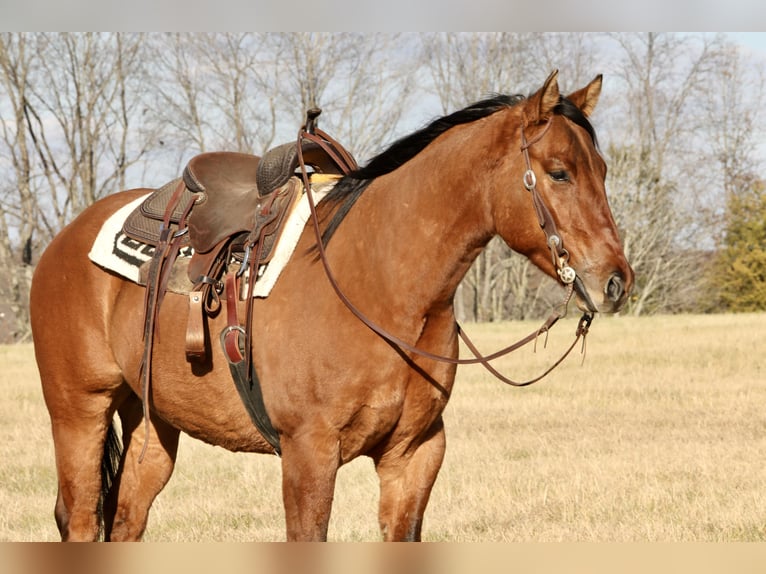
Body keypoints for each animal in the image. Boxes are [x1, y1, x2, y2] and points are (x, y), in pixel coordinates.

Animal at [30, 71, 633, 541]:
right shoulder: (309, 455)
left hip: (152, 423)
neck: (381, 285)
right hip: (79, 413)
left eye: (603, 171)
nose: (615, 282)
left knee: (127, 518)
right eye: (558, 171)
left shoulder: (415, 455)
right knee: (80, 520)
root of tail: (61, 241)